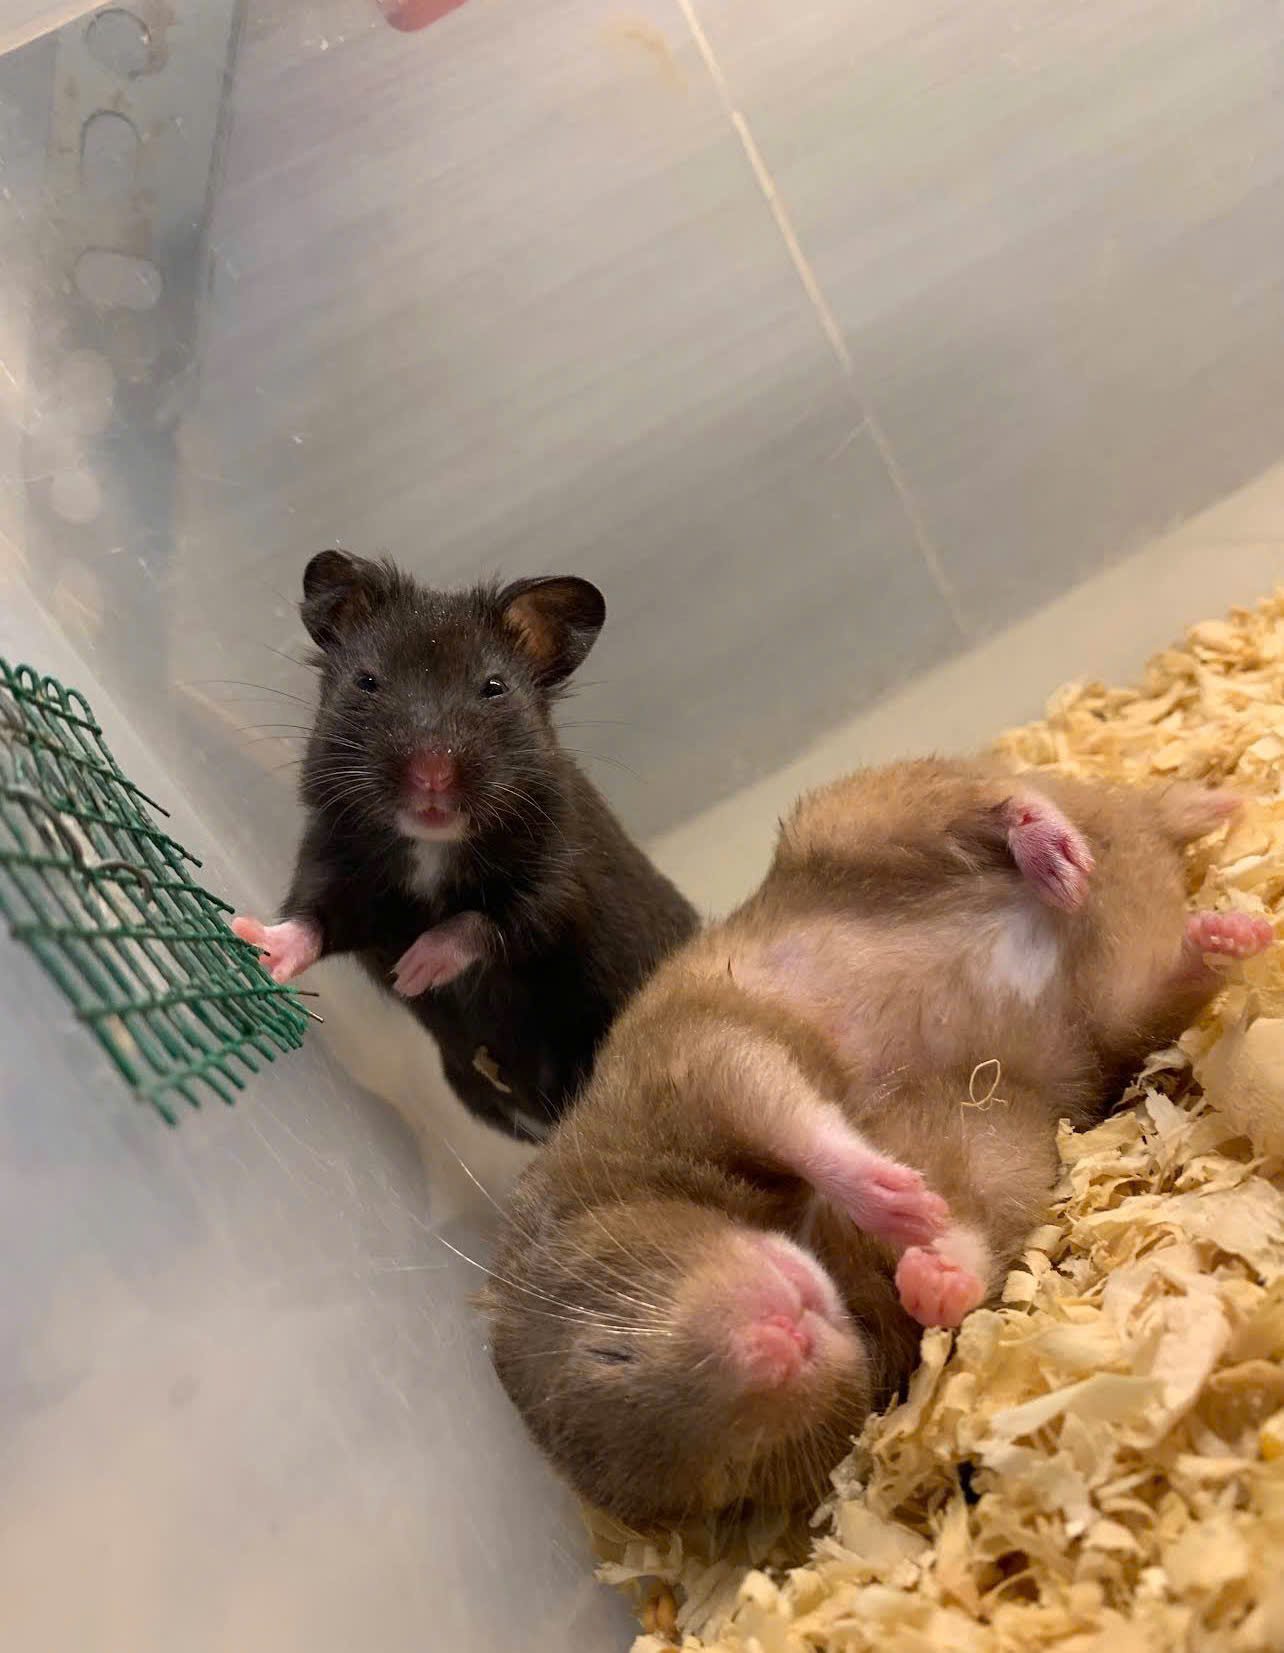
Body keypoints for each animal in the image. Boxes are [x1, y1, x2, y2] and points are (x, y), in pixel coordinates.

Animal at [232, 550, 698, 1141]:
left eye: (494, 687)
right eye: (367, 681)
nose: (431, 774)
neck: (431, 845)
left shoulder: (558, 883)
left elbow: (483, 923)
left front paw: (414, 970)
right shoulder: (334, 866)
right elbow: (311, 922)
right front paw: (252, 944)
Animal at [484, 758, 1274, 1526]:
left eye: (608, 1351)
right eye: (723, 1480)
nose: (782, 1345)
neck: (793, 1227)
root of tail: (1145, 831)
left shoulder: (692, 1063)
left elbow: (792, 1114)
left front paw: (897, 1200)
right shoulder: (987, 1149)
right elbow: (964, 1237)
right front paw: (927, 1265)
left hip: (848, 817)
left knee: (986, 796)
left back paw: (1063, 849)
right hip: (1121, 1013)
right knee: (1158, 976)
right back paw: (1226, 932)